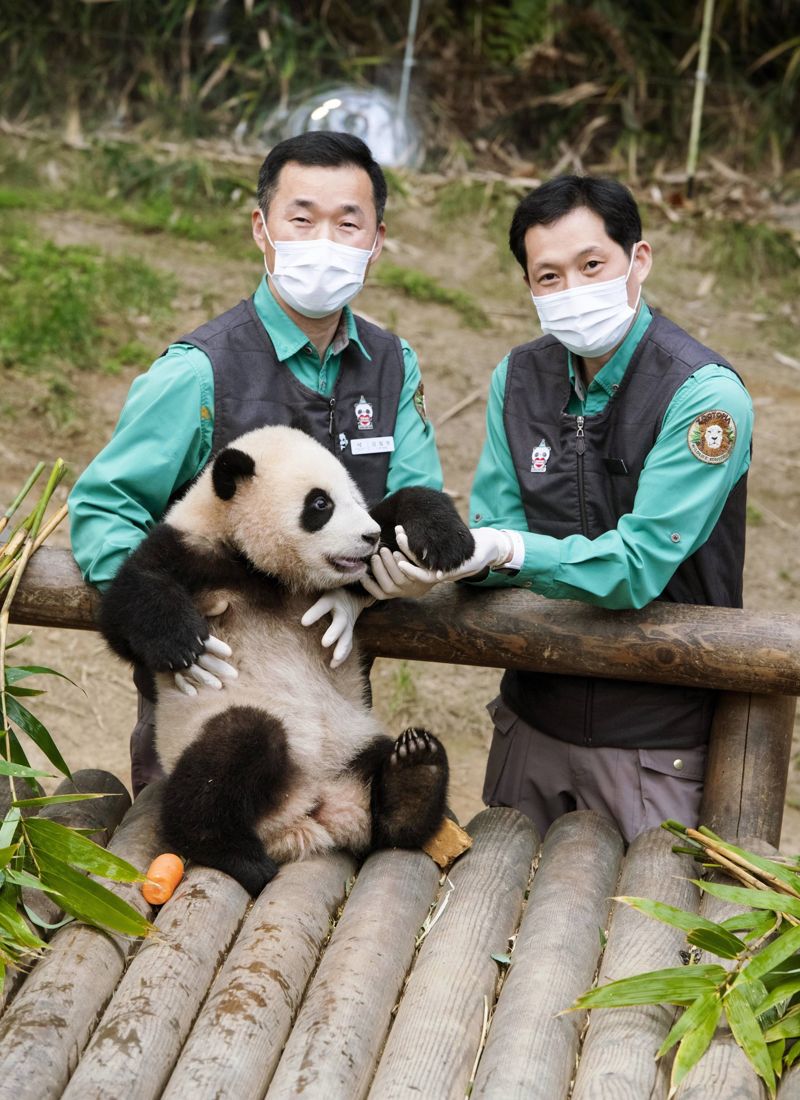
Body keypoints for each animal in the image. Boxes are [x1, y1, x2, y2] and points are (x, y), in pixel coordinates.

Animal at [100, 424, 475, 897]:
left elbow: (392, 524)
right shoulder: (193, 549)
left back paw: (414, 776)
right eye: (320, 504)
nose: (368, 537)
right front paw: (184, 645)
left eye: (353, 495)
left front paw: (445, 538)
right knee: (233, 748)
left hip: (352, 740)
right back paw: (233, 852)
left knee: (383, 802)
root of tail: (311, 814)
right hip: (218, 739)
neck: (265, 572)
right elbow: (127, 602)